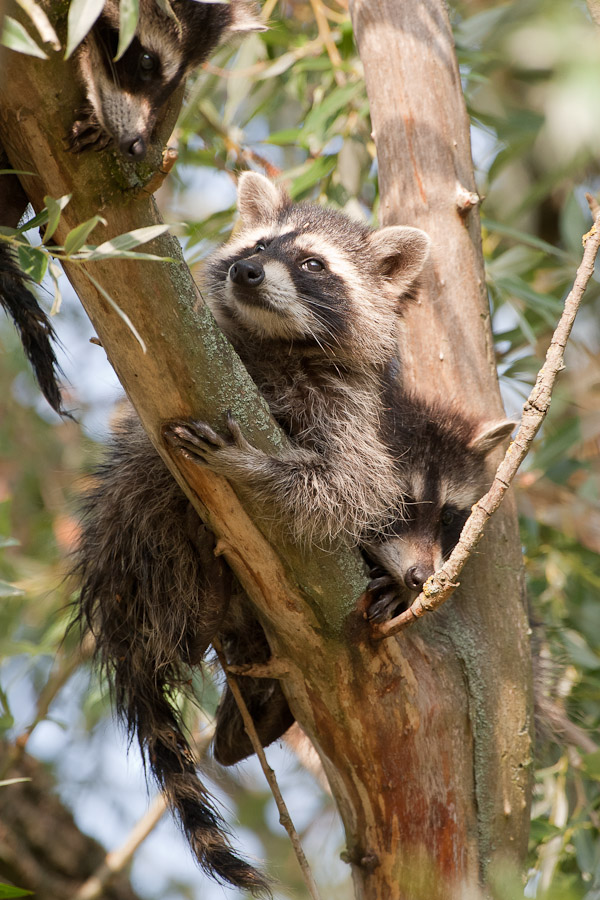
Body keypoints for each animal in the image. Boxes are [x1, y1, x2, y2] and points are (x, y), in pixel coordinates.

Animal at [75, 172, 432, 896]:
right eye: (261, 244)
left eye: (313, 264)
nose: (247, 271)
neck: (279, 345)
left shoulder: (349, 409)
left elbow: (351, 486)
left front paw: (260, 467)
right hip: (144, 527)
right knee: (144, 481)